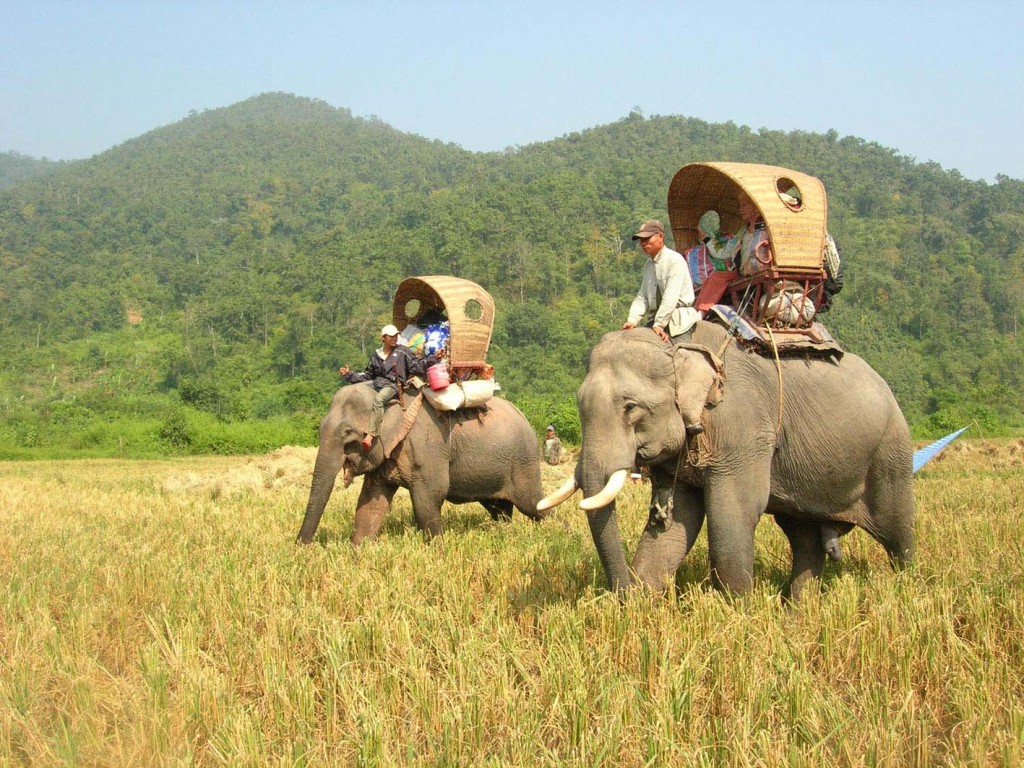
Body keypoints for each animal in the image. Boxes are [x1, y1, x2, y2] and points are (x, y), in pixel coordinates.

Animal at [540, 323, 917, 602]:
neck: (679, 347)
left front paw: (738, 614)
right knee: (803, 537)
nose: (623, 596)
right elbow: (675, 524)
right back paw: (798, 610)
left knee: (897, 532)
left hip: (890, 454)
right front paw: (643, 603)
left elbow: (733, 514)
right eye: (578, 404)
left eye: (630, 407)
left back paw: (907, 589)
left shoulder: (744, 429)